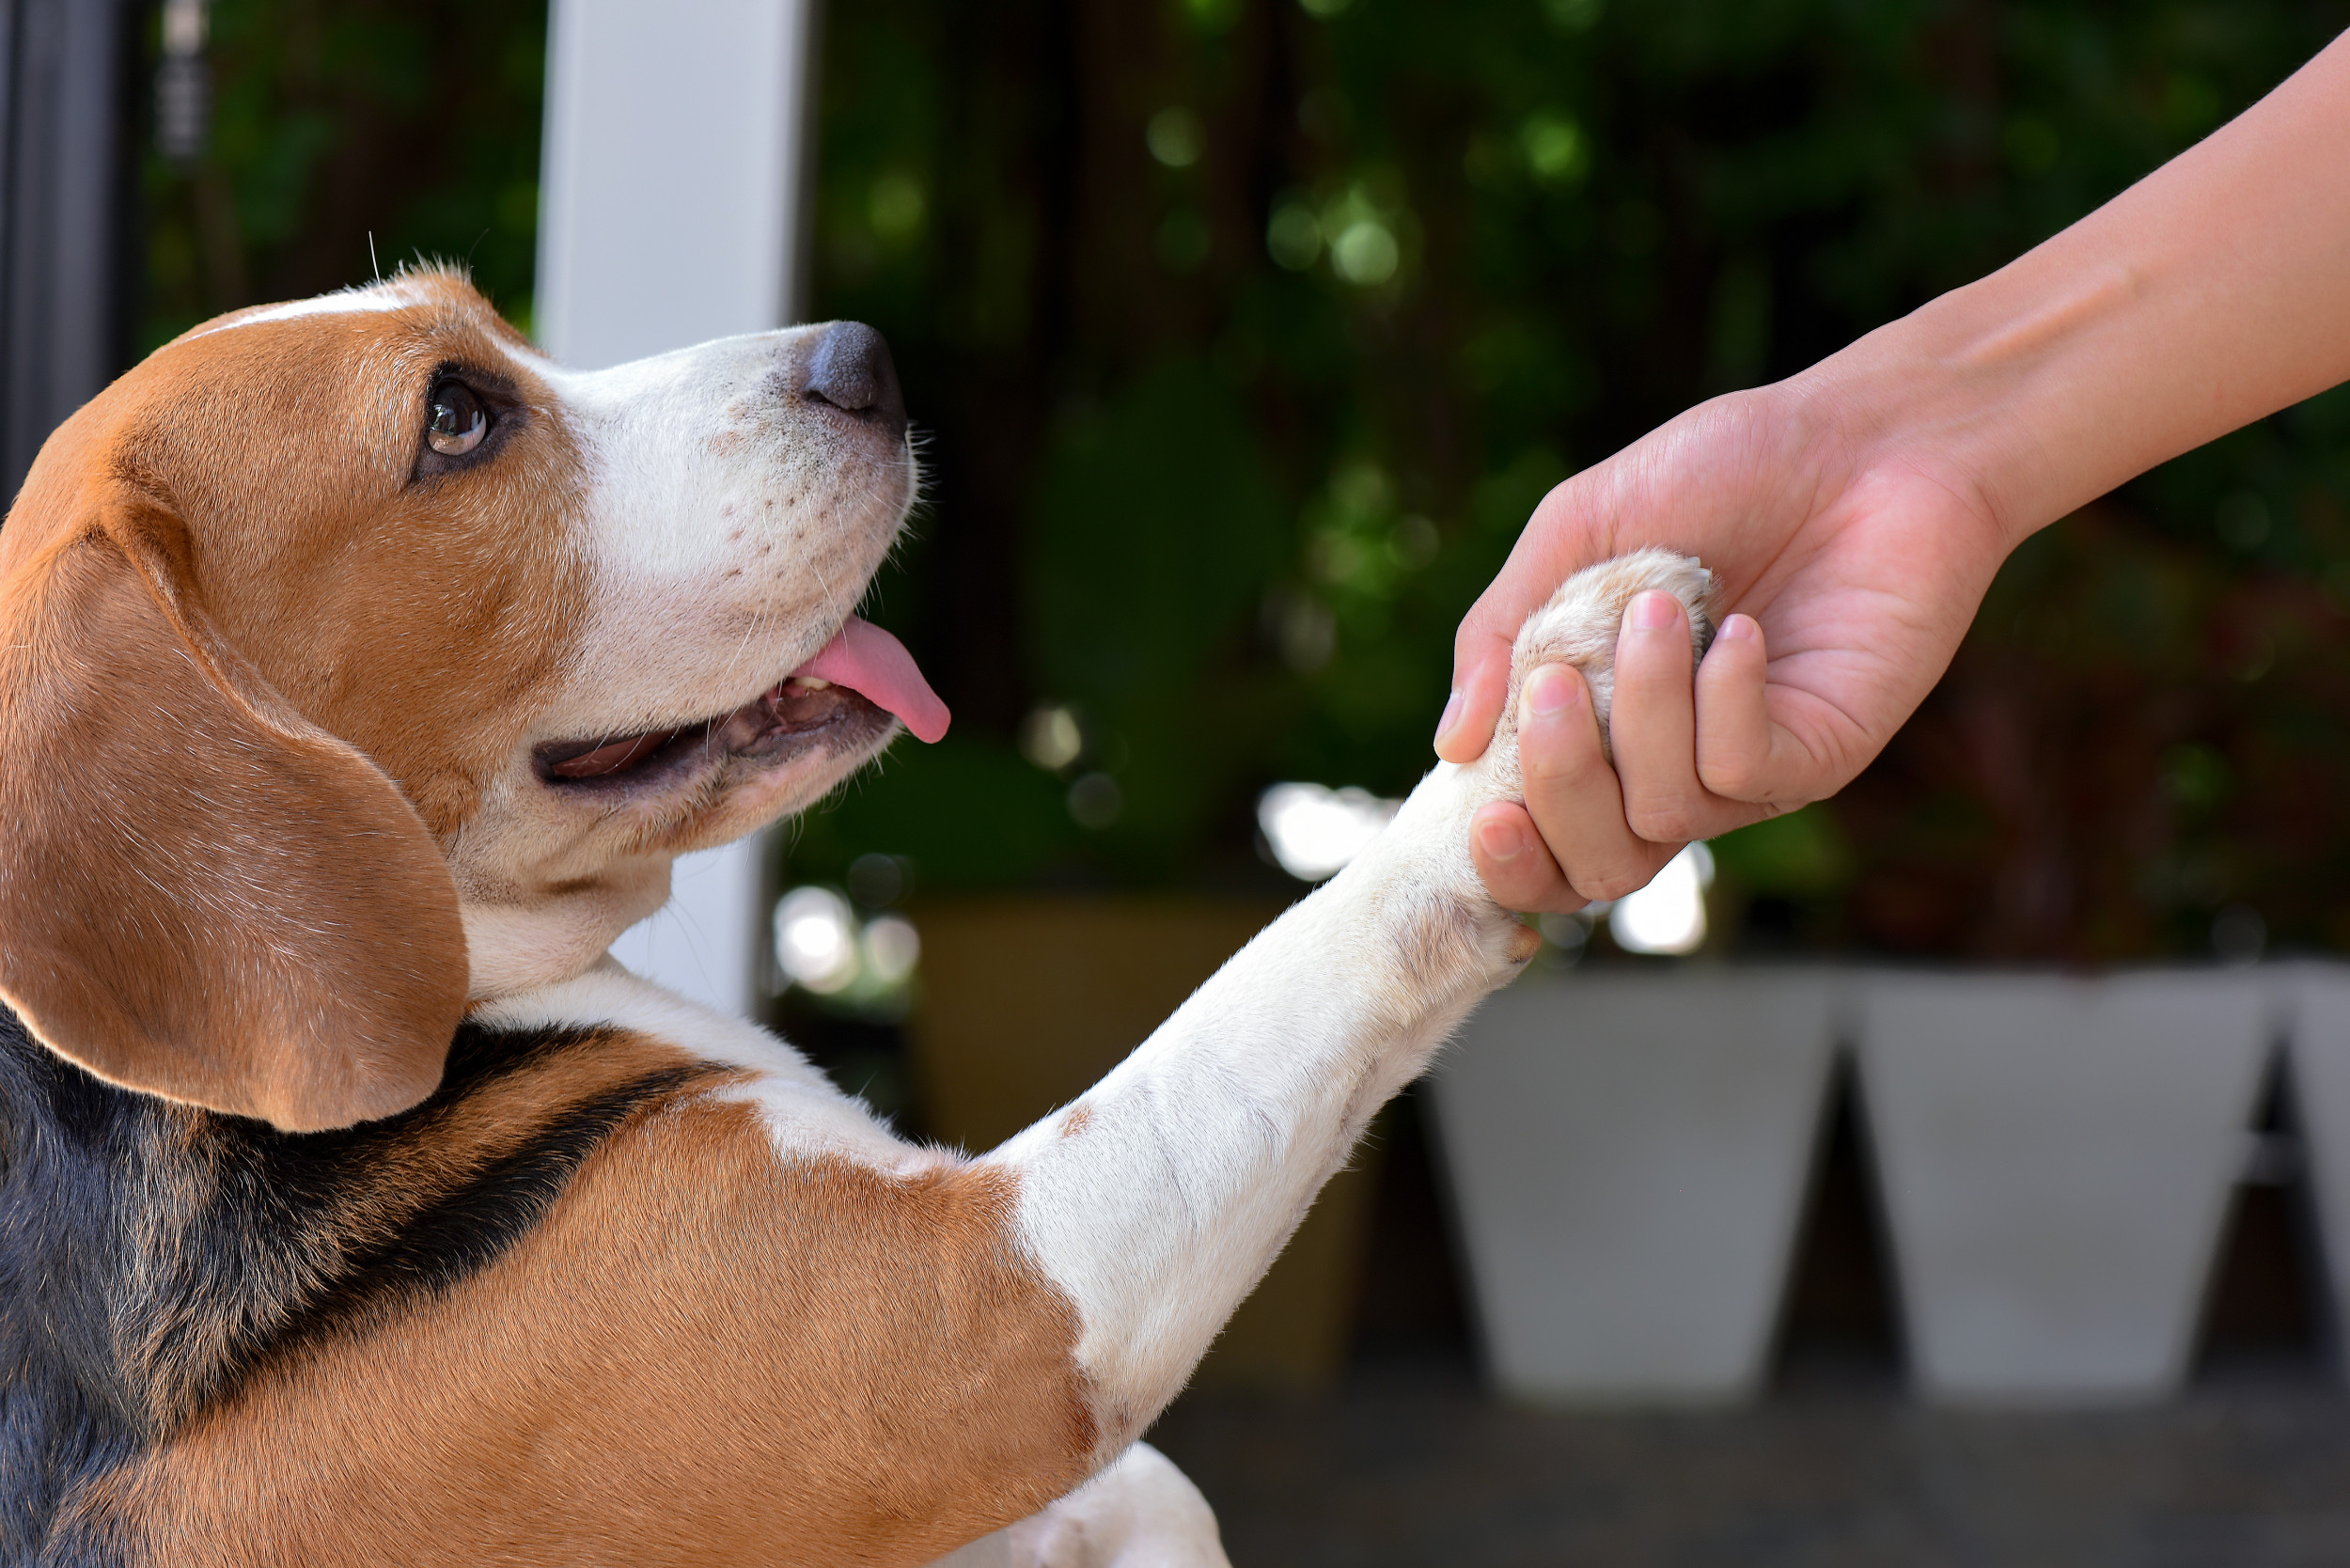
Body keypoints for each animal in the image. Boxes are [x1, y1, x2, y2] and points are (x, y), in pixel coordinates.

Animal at [0, 273, 1720, 1568]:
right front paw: (1539, 712)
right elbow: (1283, 982)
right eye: (455, 418)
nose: (867, 361)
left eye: (496, 328)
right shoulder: (984, 1316)